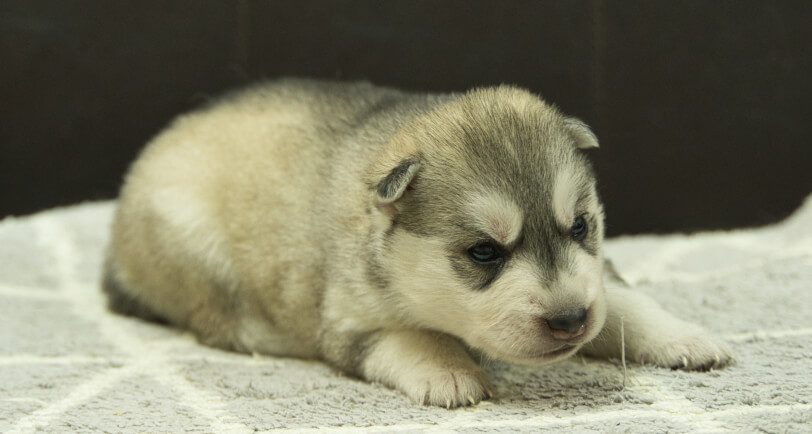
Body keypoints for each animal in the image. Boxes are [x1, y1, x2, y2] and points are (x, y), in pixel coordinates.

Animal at [103, 78, 736, 406]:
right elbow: (409, 334)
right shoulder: (351, 319)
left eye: (580, 226)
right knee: (217, 319)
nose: (569, 320)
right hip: (192, 241)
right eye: (484, 252)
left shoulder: (596, 277)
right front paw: (448, 370)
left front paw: (683, 336)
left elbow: (623, 302)